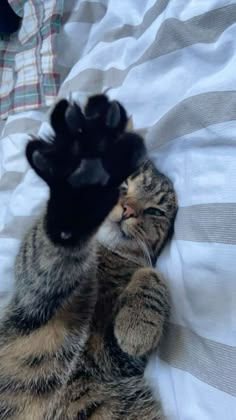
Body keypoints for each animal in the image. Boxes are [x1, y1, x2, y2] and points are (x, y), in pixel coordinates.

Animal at [0, 95, 177, 420]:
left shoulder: (115, 359)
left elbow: (152, 274)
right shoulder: (34, 293)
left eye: (154, 211)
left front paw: (138, 323)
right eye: (124, 185)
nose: (128, 210)